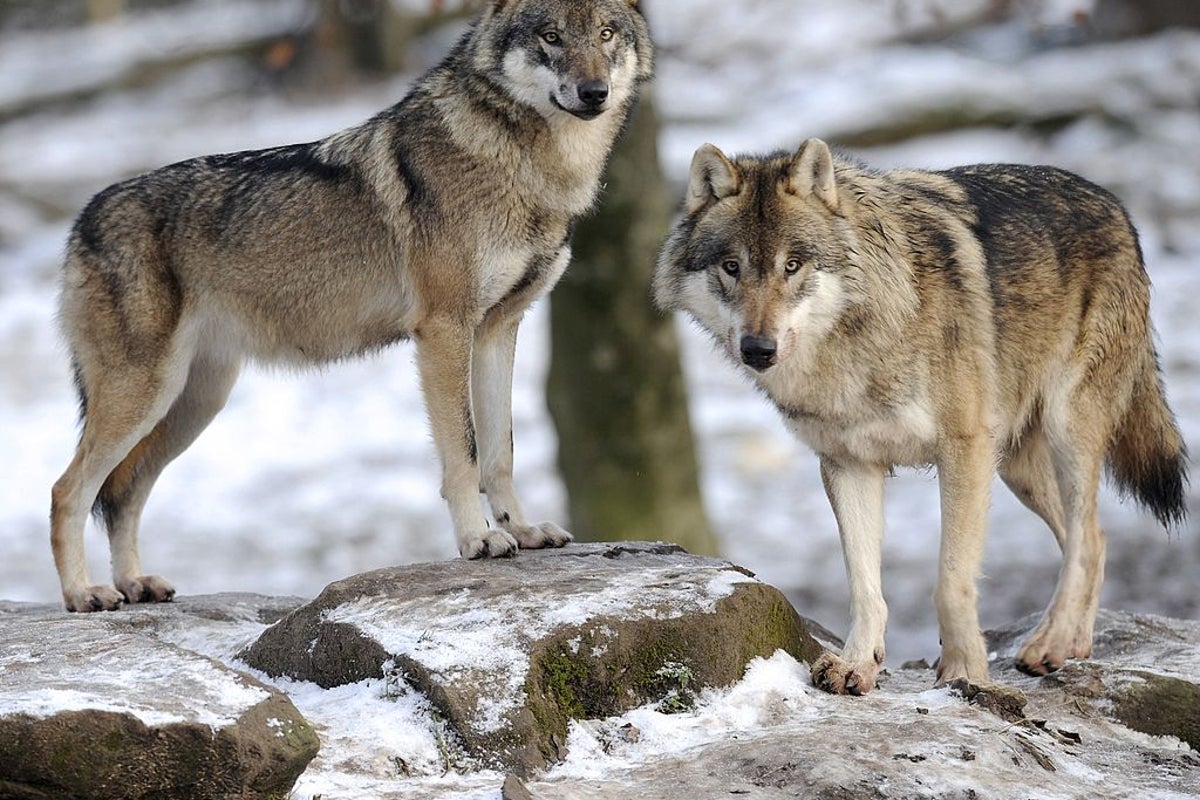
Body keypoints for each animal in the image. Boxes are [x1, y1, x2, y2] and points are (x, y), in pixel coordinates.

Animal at [50, 0, 653, 612]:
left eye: (606, 33)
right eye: (550, 36)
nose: (594, 92)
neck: (530, 168)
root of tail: (82, 220)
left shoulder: (498, 329)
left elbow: (500, 451)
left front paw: (523, 530)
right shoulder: (444, 330)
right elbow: (464, 453)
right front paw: (478, 539)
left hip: (192, 404)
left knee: (125, 493)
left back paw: (134, 584)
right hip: (145, 396)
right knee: (68, 490)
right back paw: (84, 594)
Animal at [654, 137, 1187, 693]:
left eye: (793, 265)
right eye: (731, 267)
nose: (758, 348)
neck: (854, 346)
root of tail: (1115, 205)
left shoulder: (964, 450)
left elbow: (951, 581)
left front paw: (965, 671)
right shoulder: (850, 463)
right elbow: (864, 585)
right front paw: (857, 663)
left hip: (1065, 432)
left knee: (1085, 538)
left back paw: (1051, 642)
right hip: (1016, 467)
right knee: (1096, 539)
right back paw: (1074, 643)